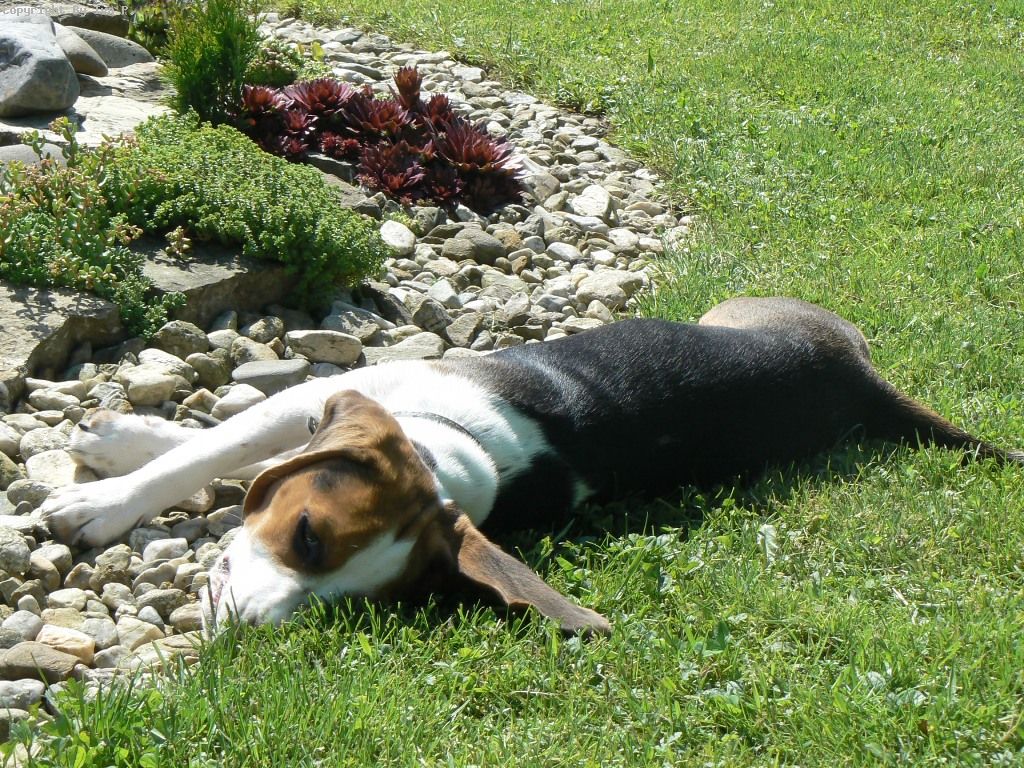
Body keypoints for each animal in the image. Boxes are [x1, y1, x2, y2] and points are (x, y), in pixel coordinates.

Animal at [39, 297, 1023, 635]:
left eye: (346, 604)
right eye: (307, 535)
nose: (240, 631)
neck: (449, 451)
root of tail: (859, 379)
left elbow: (225, 445)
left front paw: (99, 502)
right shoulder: (324, 397)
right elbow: (222, 442)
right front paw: (125, 455)